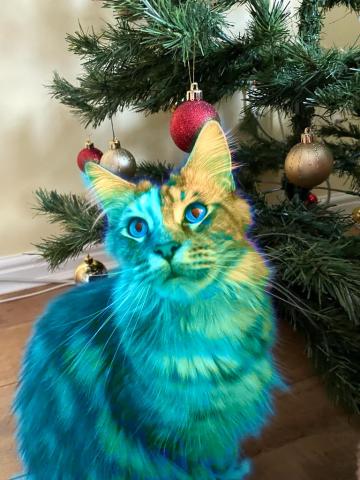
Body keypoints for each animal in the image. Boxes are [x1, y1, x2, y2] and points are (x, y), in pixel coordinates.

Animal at [14, 121, 282, 480]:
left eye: (195, 213)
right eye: (138, 227)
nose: (166, 248)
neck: (205, 326)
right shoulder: (169, 437)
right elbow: (200, 469)